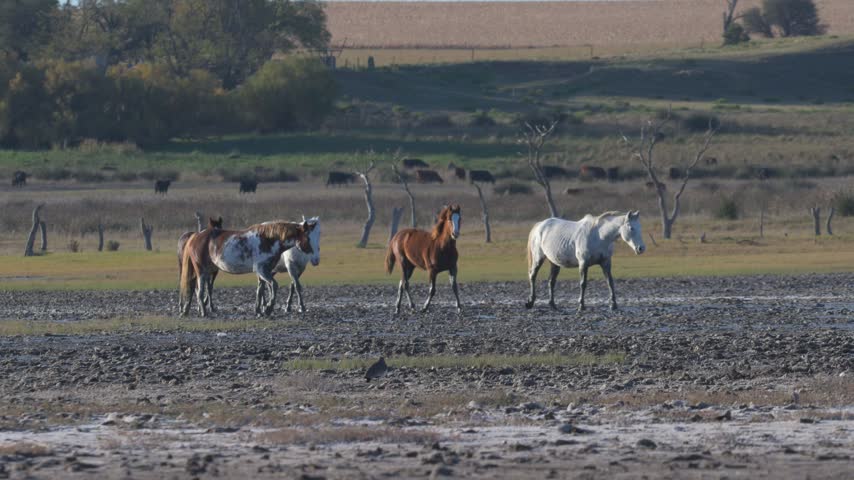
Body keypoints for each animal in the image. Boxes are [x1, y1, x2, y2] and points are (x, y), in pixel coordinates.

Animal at [179, 220, 314, 317]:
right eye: (307, 237)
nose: (311, 251)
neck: (268, 240)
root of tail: (195, 236)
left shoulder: (263, 272)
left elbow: (260, 290)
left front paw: (259, 311)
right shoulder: (262, 270)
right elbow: (274, 285)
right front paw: (268, 308)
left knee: (192, 287)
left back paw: (186, 310)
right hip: (201, 271)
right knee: (200, 291)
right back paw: (203, 312)